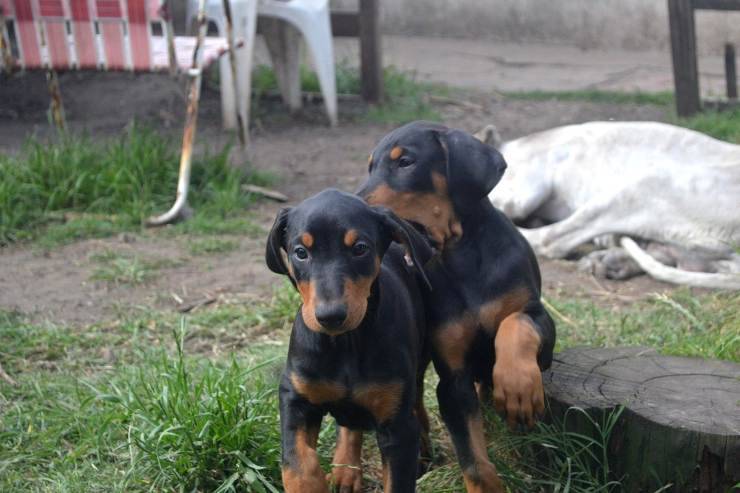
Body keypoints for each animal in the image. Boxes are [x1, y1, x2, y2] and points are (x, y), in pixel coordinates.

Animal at [268, 188, 434, 492]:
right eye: (300, 253)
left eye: (359, 248)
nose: (330, 316)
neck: (344, 342)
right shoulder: (294, 394)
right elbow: (297, 461)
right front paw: (312, 483)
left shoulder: (397, 426)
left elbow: (398, 480)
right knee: (349, 424)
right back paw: (345, 472)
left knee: (416, 403)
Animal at [356, 120, 556, 492]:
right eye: (370, 167)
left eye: (405, 162)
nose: (354, 211)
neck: (463, 258)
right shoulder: (453, 380)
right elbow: (473, 460)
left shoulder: (538, 319)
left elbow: (515, 324)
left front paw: (517, 387)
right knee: (412, 399)